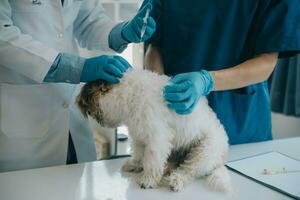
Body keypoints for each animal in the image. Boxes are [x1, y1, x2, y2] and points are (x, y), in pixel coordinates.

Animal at [76, 68, 231, 192]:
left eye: (90, 108)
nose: (91, 115)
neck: (130, 93)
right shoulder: (138, 135)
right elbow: (139, 154)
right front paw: (135, 165)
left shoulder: (157, 138)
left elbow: (152, 161)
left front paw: (148, 180)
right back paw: (167, 169)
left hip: (204, 152)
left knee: (188, 170)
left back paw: (176, 180)